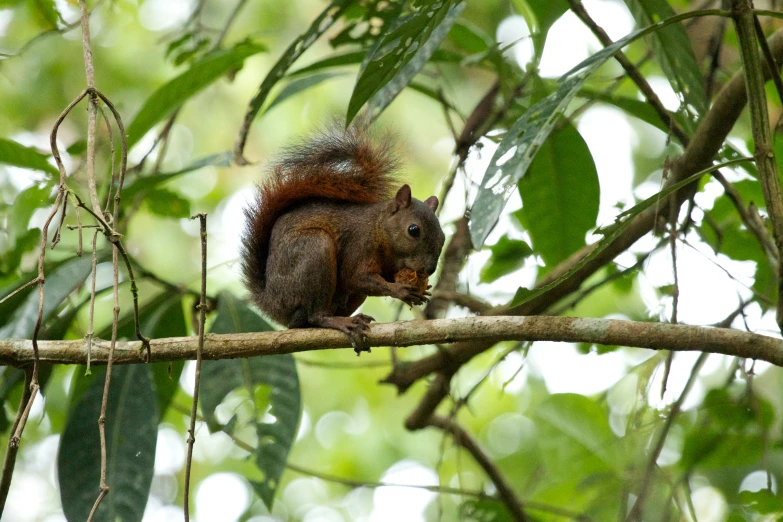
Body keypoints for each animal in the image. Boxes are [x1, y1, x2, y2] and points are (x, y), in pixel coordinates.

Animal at [239, 126, 448, 354]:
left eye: (443, 236)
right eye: (413, 230)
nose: (430, 269)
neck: (380, 231)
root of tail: (271, 302)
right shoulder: (358, 244)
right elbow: (355, 277)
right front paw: (400, 290)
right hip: (314, 250)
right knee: (315, 316)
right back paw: (339, 321)